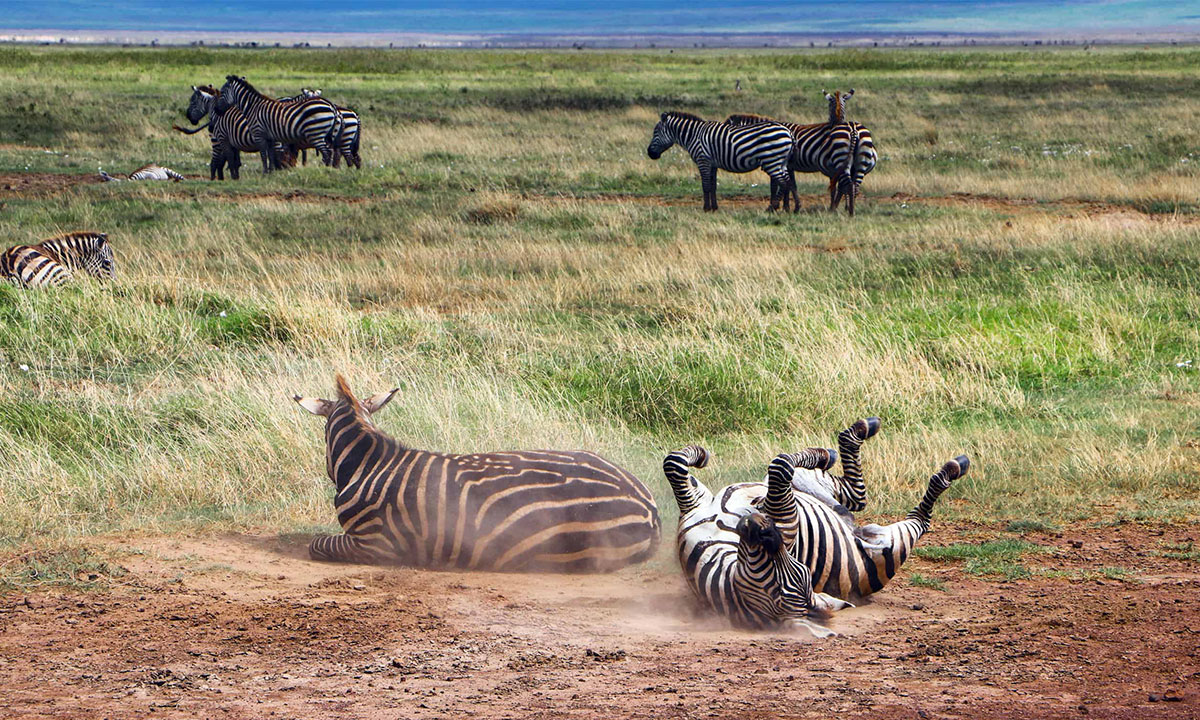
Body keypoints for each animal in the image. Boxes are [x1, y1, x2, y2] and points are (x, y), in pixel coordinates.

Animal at [648, 109, 796, 211]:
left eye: (655, 132)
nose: (649, 153)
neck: (694, 135)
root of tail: (788, 132)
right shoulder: (712, 164)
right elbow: (713, 186)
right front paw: (714, 207)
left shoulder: (703, 160)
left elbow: (705, 185)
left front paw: (706, 208)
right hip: (781, 162)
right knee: (788, 182)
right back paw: (788, 207)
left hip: (772, 160)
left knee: (783, 182)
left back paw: (772, 208)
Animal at [667, 415, 974, 628]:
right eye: (779, 582)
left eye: (798, 568)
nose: (759, 523)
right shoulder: (784, 518)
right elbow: (779, 466)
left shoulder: (697, 501)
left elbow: (674, 462)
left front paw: (699, 455)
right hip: (891, 544)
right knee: (908, 515)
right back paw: (952, 467)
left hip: (818, 488)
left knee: (843, 491)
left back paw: (843, 443)